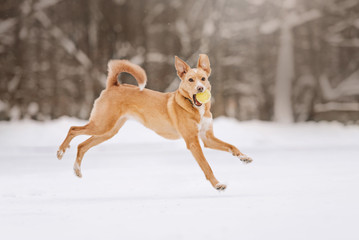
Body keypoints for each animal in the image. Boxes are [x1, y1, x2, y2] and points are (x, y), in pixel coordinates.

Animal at [57, 54, 253, 191]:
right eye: (190, 79)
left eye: (203, 78)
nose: (200, 88)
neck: (194, 107)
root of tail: (114, 85)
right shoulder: (193, 142)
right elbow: (206, 166)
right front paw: (217, 184)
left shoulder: (207, 138)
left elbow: (231, 146)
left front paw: (243, 157)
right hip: (102, 125)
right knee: (73, 129)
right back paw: (60, 151)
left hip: (108, 131)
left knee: (82, 145)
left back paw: (77, 169)